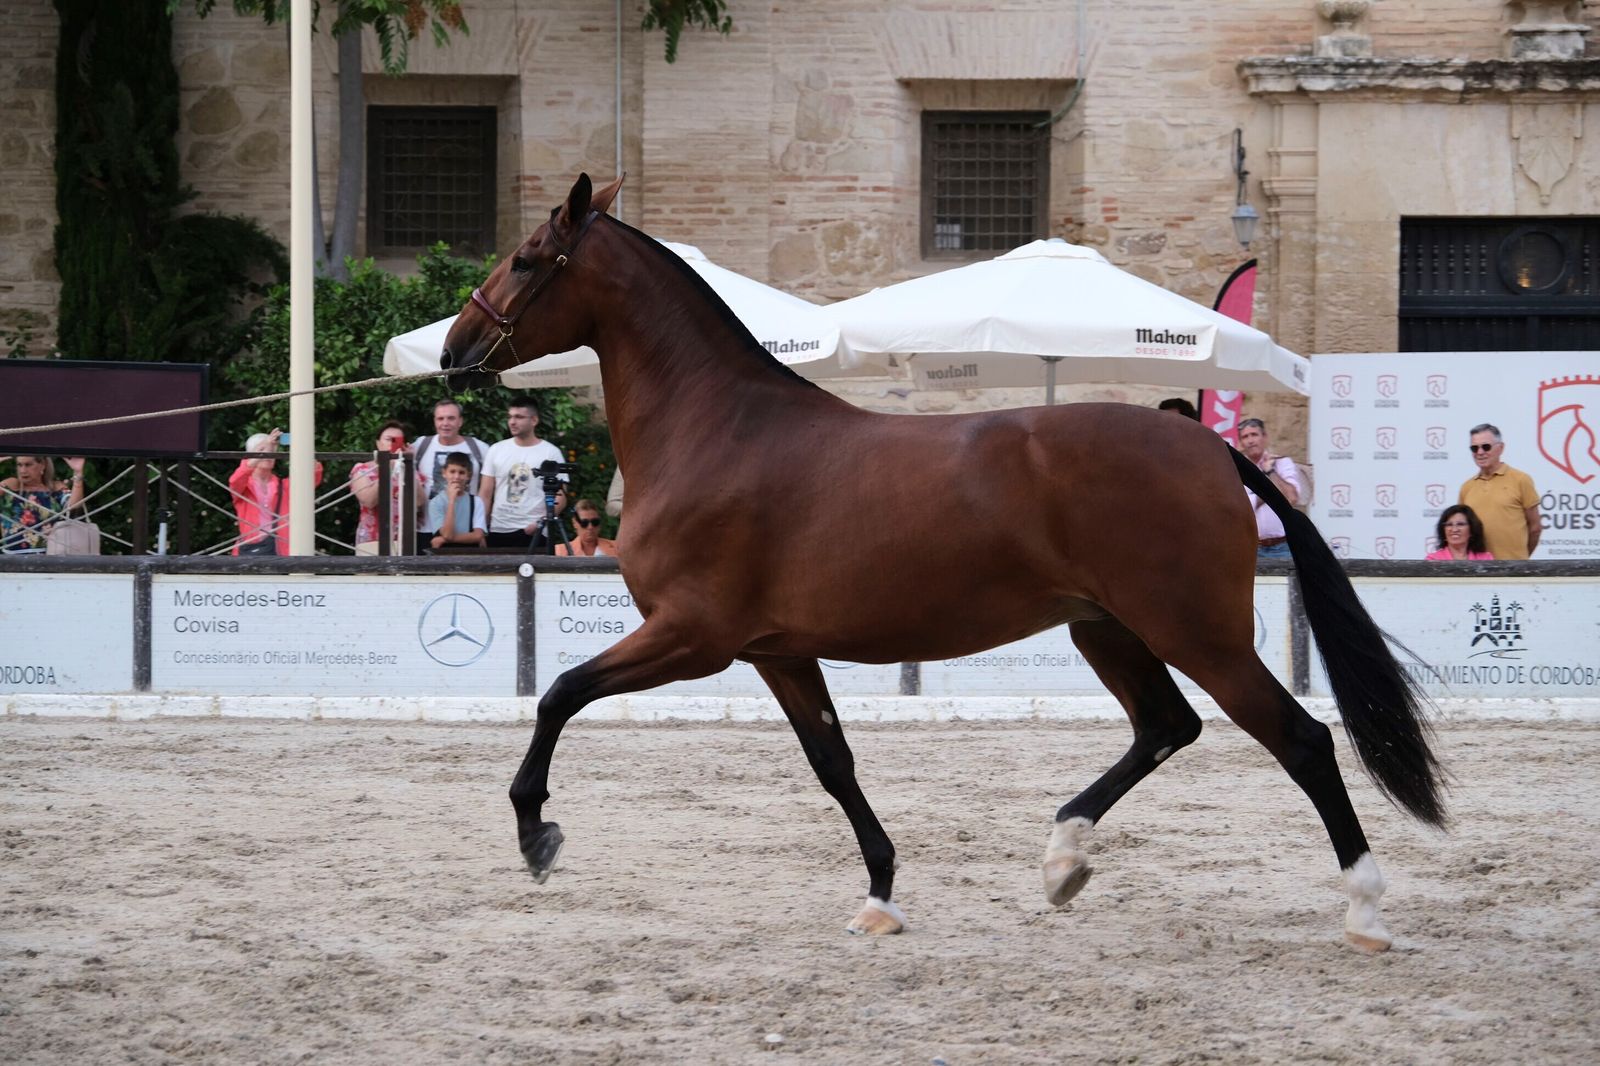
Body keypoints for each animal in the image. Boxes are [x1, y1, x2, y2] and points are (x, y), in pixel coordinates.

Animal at [442, 174, 1447, 951]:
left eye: (527, 258)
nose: (454, 352)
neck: (718, 429)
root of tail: (1207, 444)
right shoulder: (778, 651)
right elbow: (833, 763)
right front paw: (880, 896)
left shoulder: (693, 636)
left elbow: (560, 691)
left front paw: (537, 834)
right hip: (1107, 630)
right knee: (1167, 726)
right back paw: (1062, 861)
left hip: (1197, 632)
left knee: (1301, 740)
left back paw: (1365, 909)